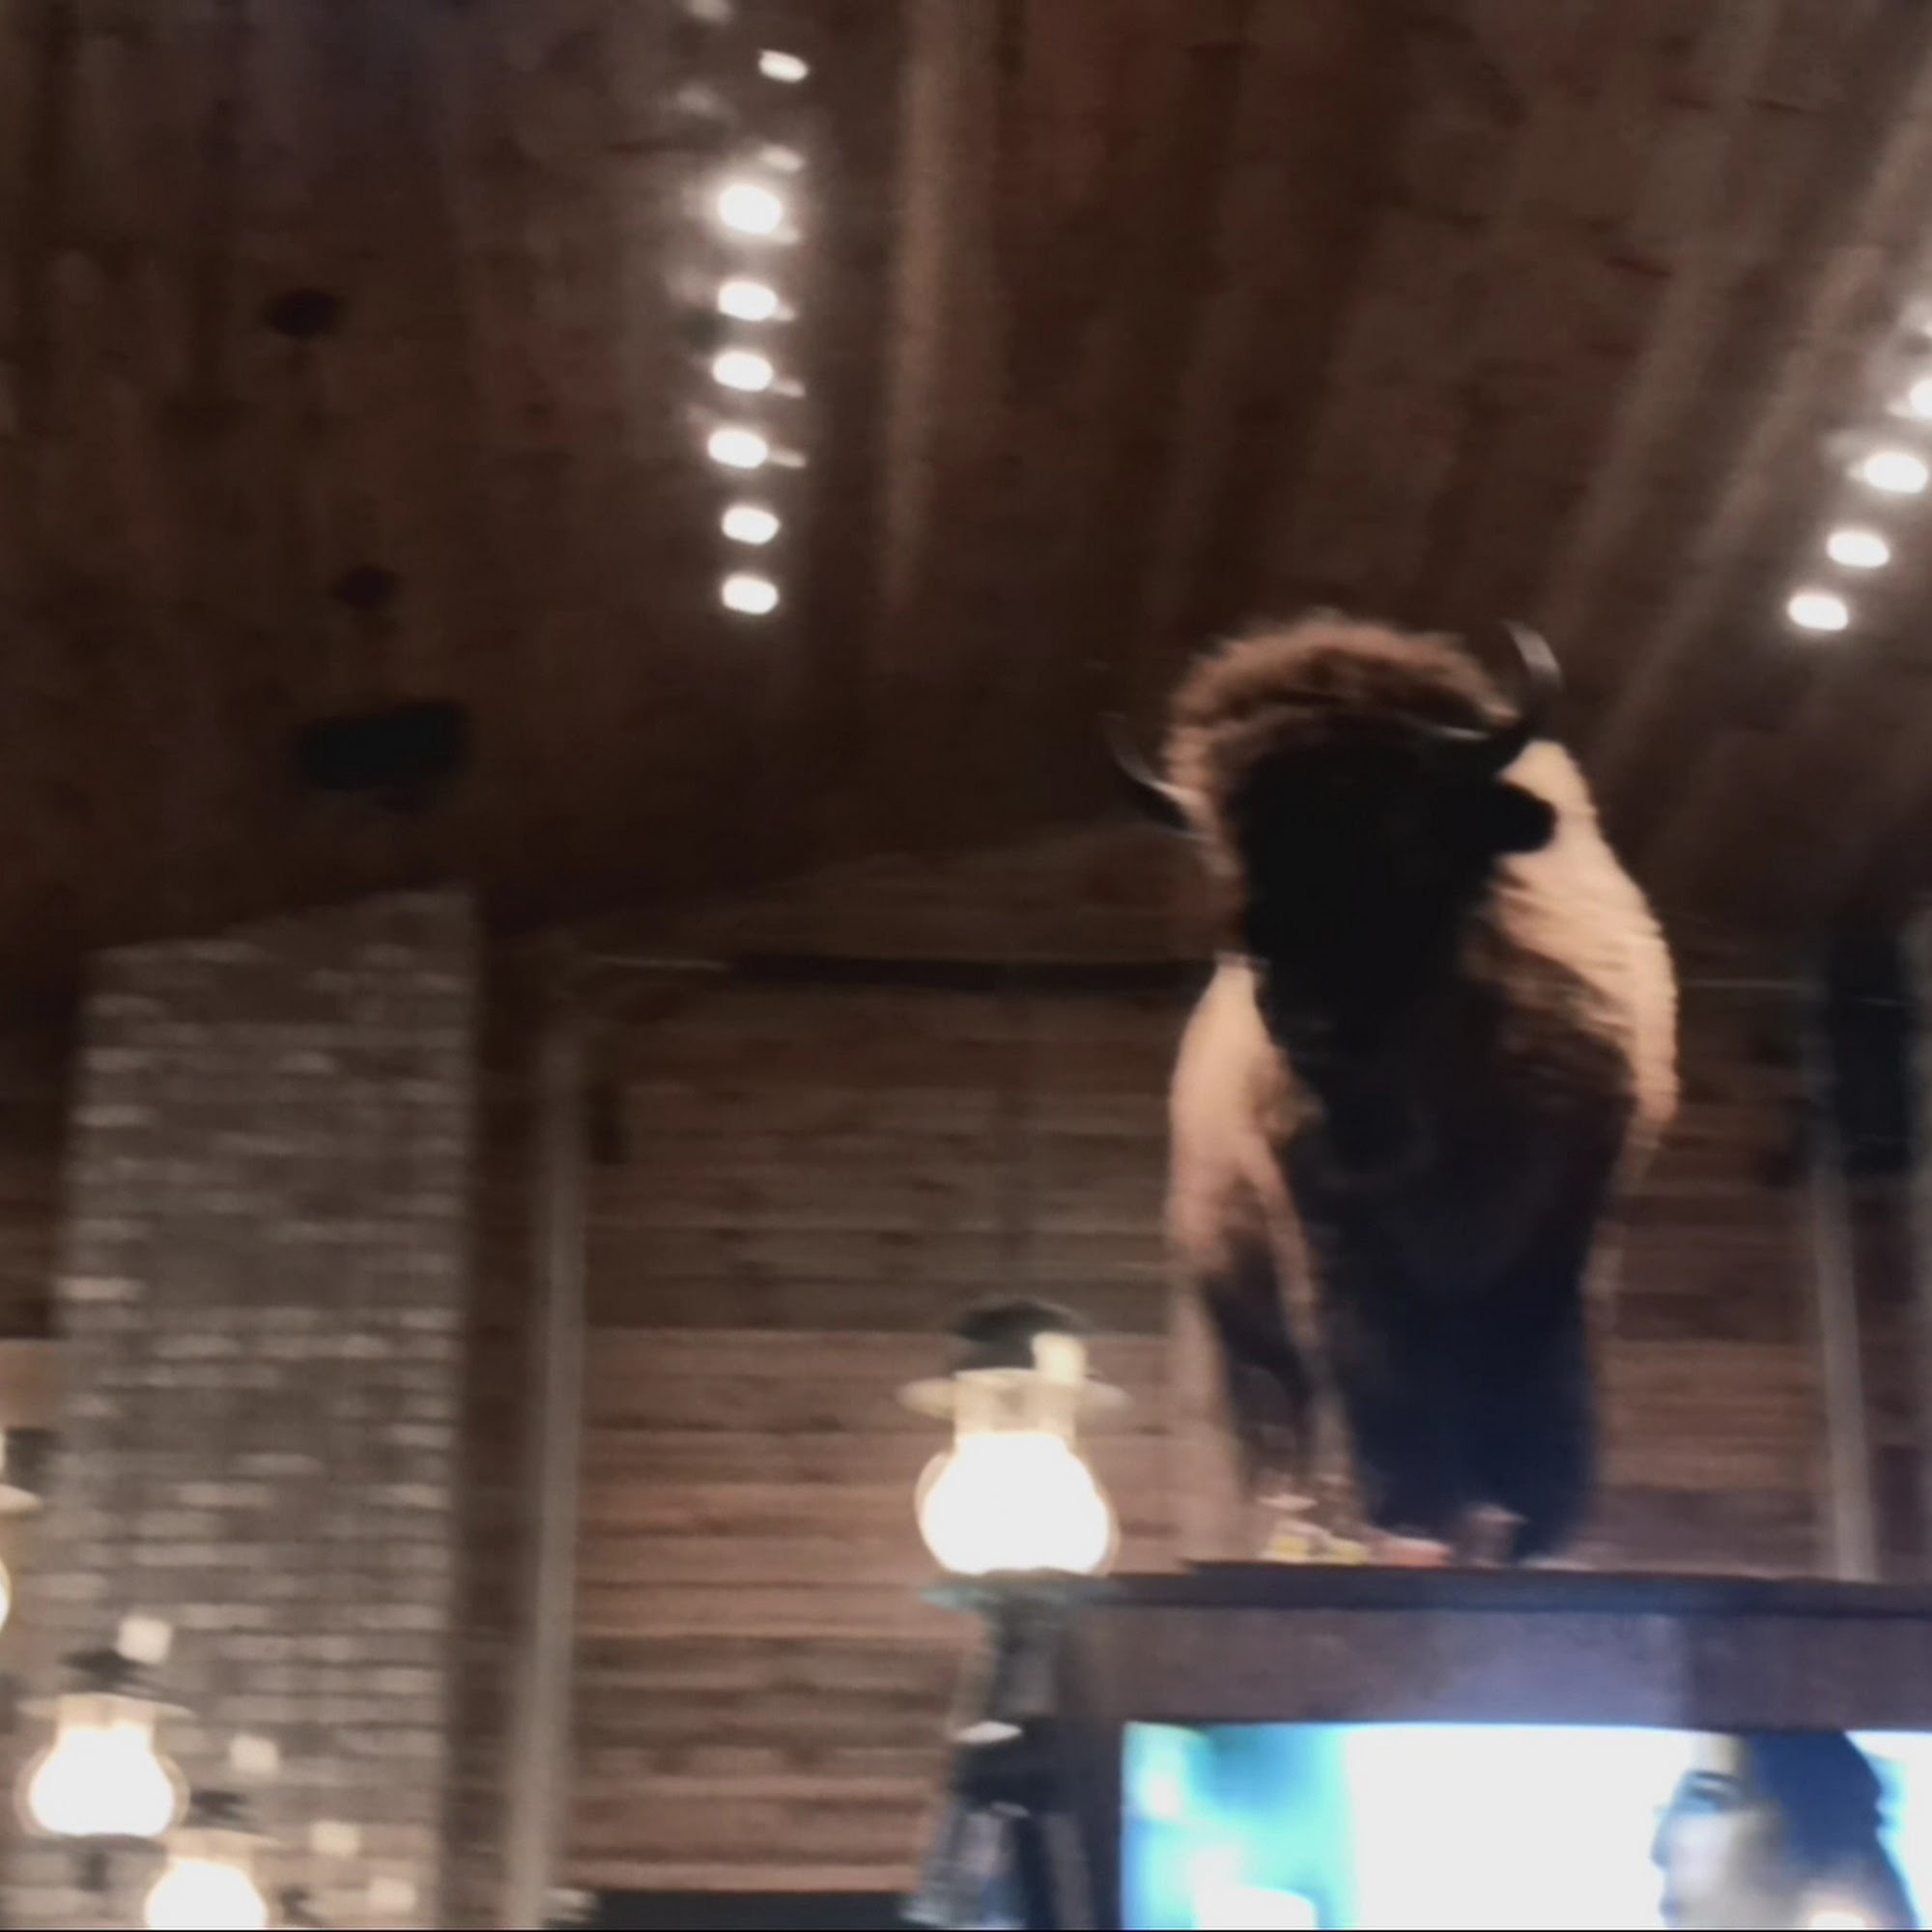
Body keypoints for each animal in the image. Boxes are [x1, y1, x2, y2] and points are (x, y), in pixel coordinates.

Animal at [1116, 615, 1678, 1561]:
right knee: (1286, 1420)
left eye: (1399, 826)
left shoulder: (1560, 1220)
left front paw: (1523, 1522)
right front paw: (1408, 1517)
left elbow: (1530, 1373)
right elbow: (1374, 1378)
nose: (1299, 1014)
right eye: (1228, 846)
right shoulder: (1337, 1233)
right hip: (1238, 1315)